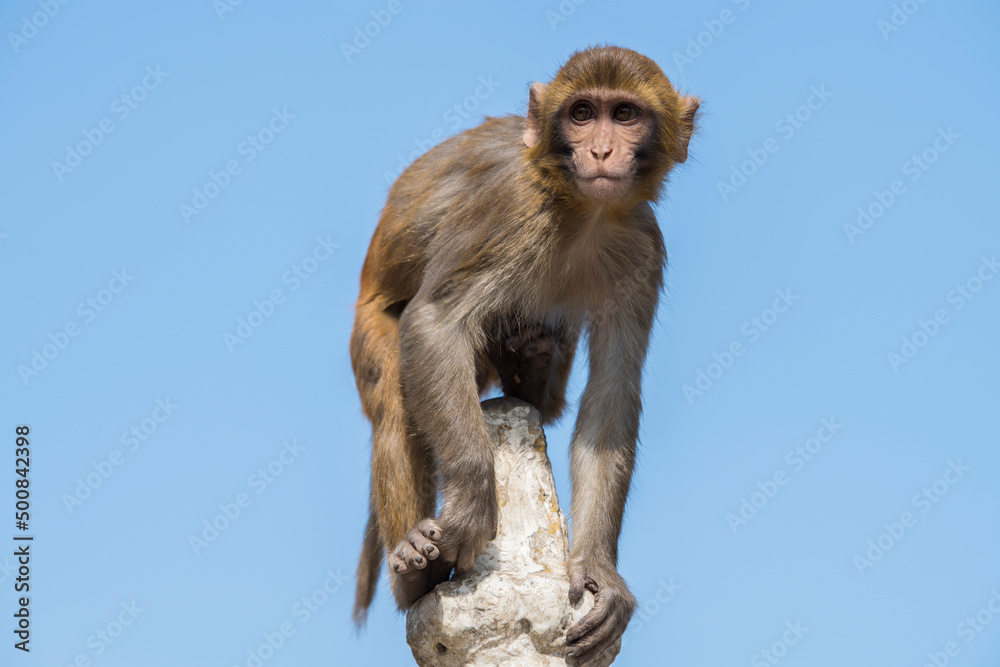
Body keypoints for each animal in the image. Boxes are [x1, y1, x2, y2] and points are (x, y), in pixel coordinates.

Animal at [350, 45, 698, 660]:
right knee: (394, 387)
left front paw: (598, 569)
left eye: (625, 114)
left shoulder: (643, 246)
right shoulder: (508, 208)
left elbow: (612, 391)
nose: (601, 150)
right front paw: (472, 504)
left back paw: (530, 368)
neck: (582, 209)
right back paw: (414, 572)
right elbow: (435, 322)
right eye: (582, 113)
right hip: (366, 326)